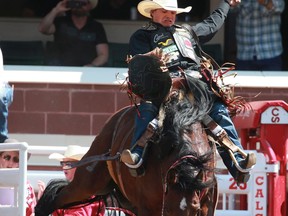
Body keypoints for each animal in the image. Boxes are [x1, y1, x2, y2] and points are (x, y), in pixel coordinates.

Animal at [35, 75, 217, 215]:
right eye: (169, 210)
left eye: (194, 210)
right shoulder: (148, 206)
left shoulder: (206, 203)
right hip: (87, 182)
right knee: (57, 198)